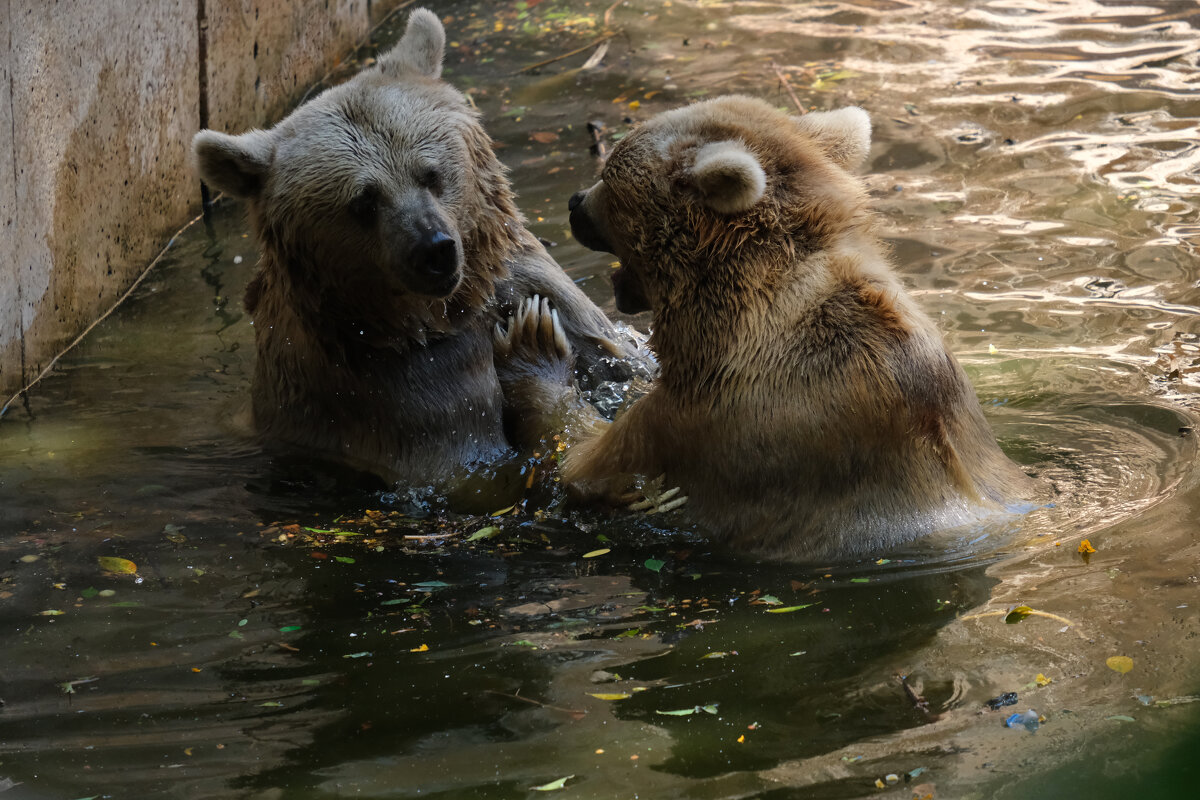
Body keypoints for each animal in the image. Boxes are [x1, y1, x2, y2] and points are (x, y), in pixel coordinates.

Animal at [190, 10, 633, 489]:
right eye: (364, 202)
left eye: (430, 173)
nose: (434, 250)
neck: (439, 318)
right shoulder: (406, 399)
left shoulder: (536, 293)